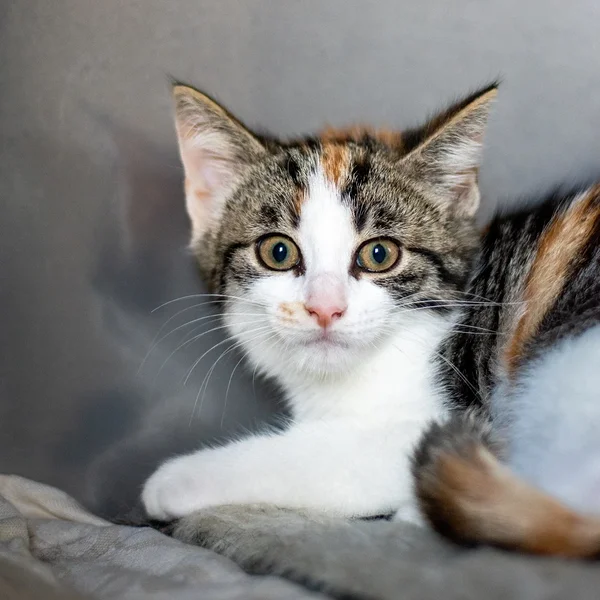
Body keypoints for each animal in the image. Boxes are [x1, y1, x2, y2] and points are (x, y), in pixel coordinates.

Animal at [142, 81, 600, 557]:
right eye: (277, 252)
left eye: (379, 254)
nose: (325, 308)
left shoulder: (426, 423)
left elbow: (310, 456)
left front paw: (174, 480)